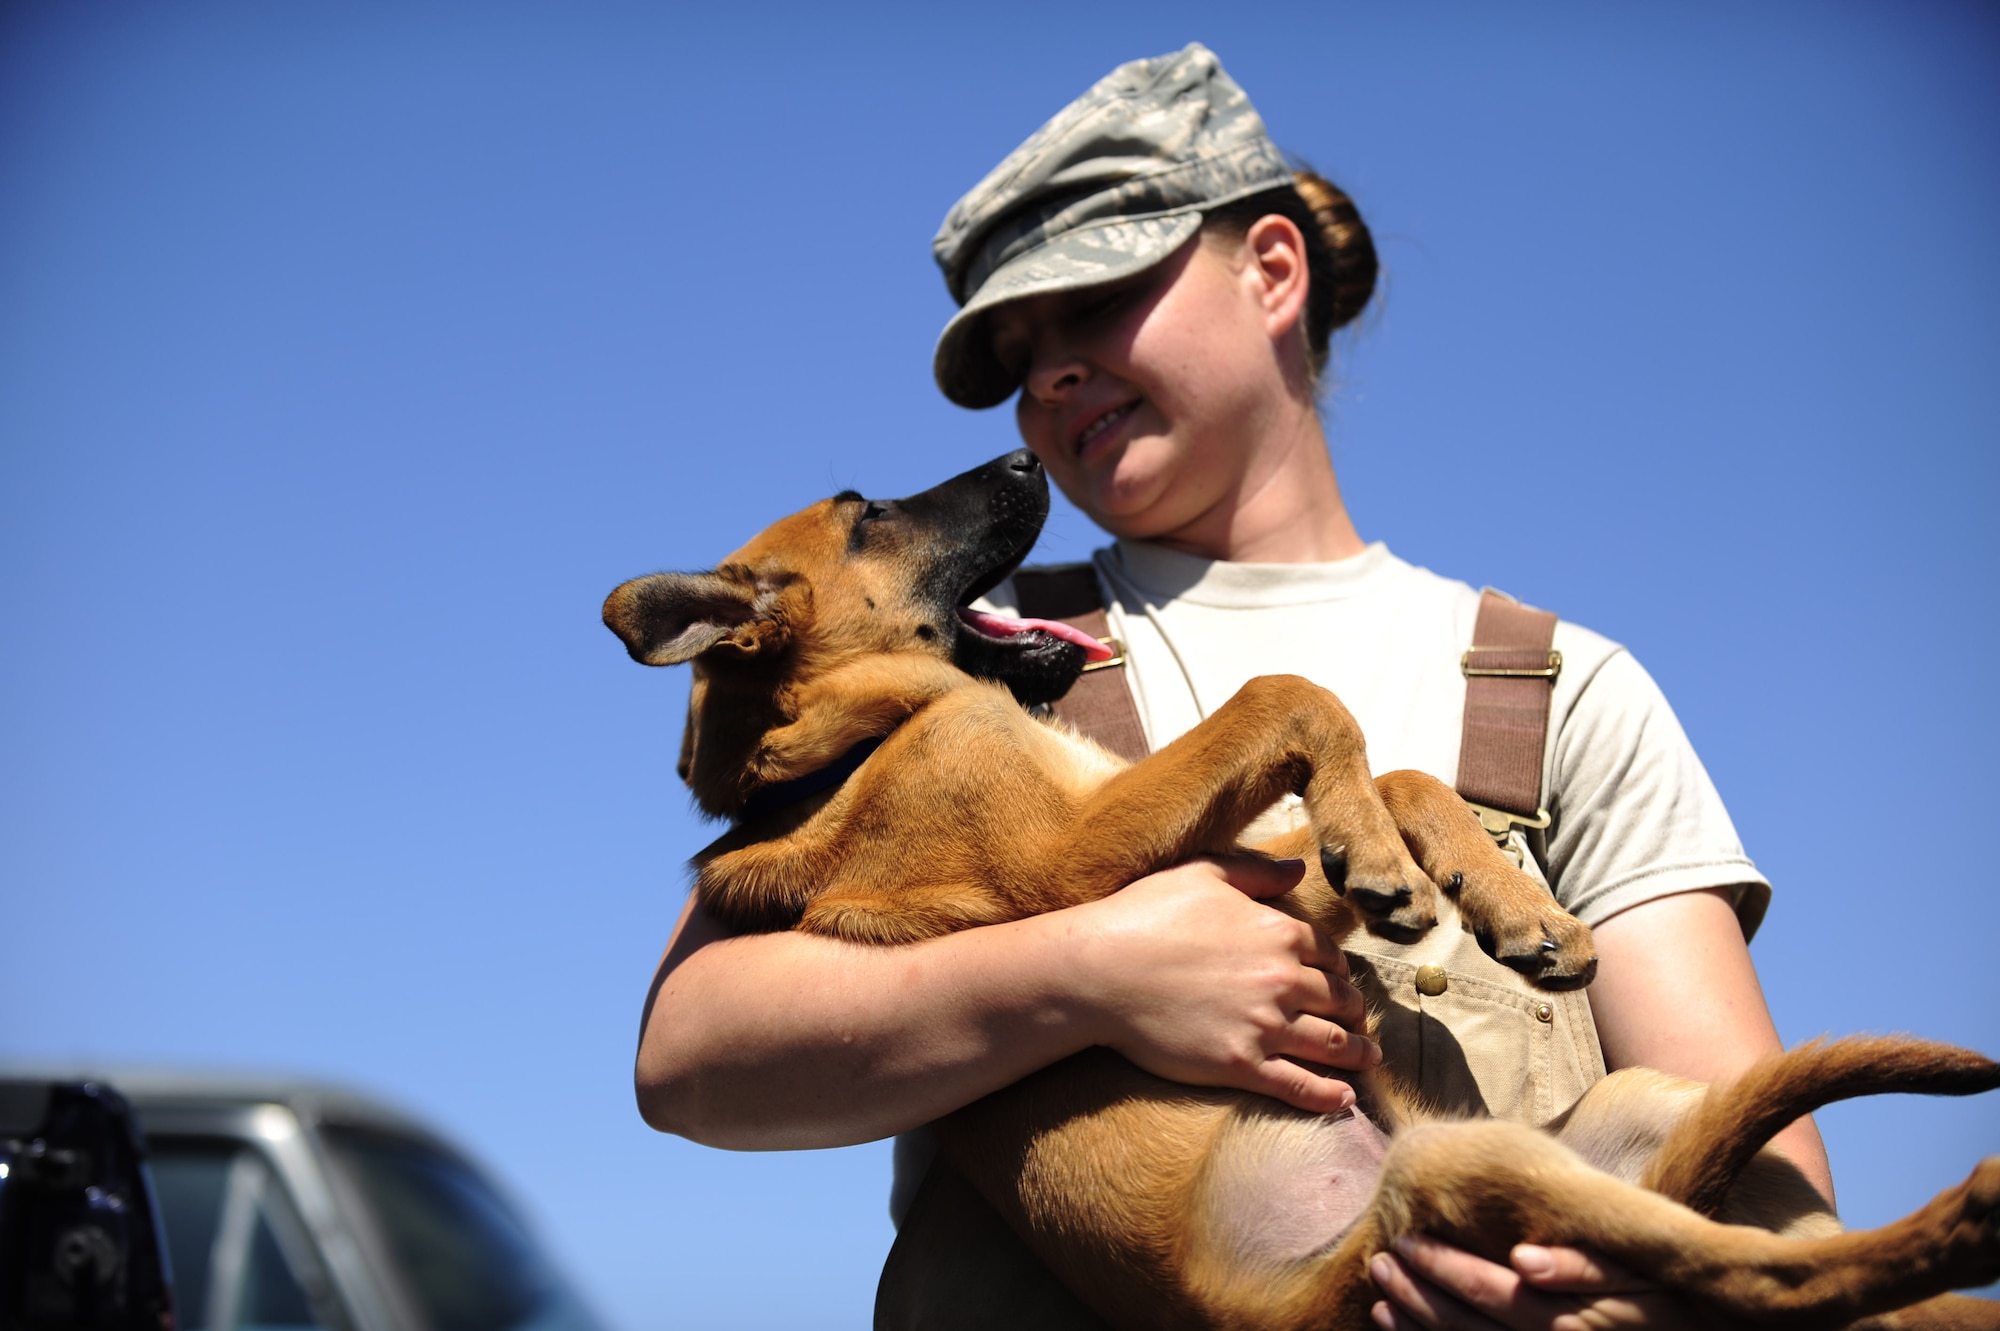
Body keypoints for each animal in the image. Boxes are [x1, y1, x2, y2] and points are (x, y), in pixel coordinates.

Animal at [608, 451, 2000, 1319]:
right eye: (866, 517)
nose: (1020, 454)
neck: (849, 745)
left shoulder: (1237, 861)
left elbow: (1388, 768)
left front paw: (1497, 902)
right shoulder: (1087, 861)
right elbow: (1290, 691)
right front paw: (1402, 865)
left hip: (1637, 1108)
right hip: (1464, 1181)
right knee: (1762, 1279)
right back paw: (1963, 1221)